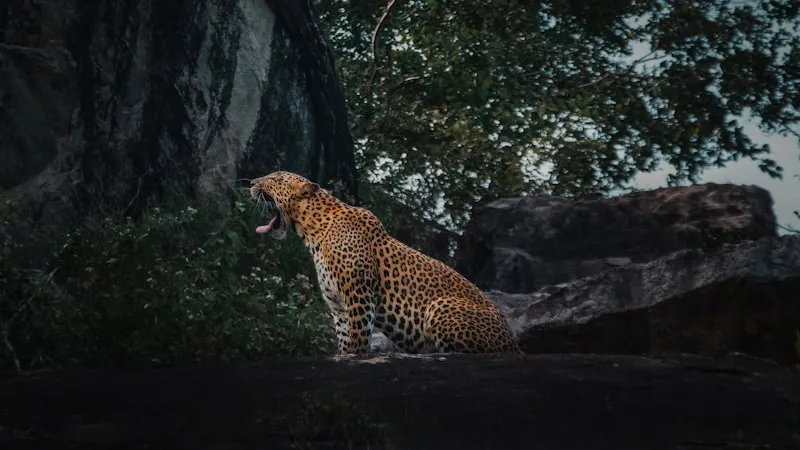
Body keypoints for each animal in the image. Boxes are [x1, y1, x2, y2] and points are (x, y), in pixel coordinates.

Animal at [250, 170, 523, 356]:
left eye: (274, 178)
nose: (251, 183)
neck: (314, 232)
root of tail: (513, 341)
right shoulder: (338, 306)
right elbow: (344, 341)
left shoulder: (358, 293)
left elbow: (359, 337)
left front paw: (358, 356)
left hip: (440, 306)